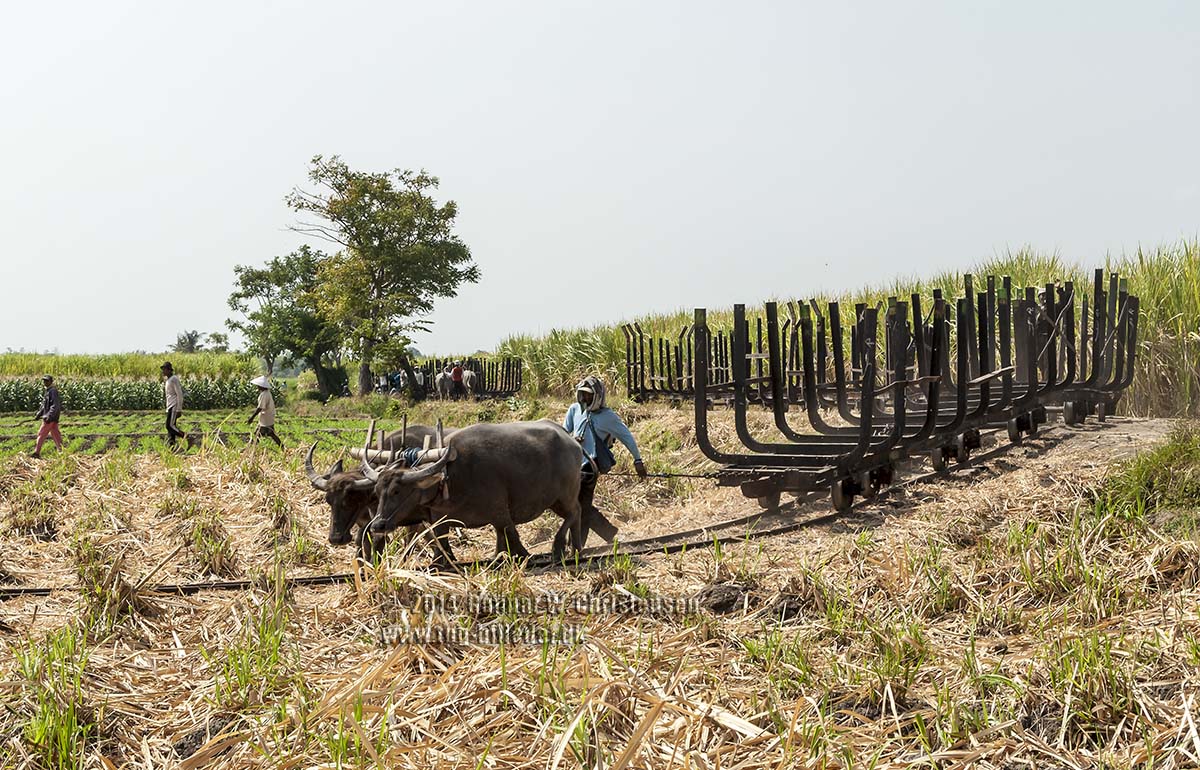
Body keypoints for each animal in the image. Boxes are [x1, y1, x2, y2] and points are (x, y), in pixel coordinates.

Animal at [364, 420, 584, 567]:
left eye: (397, 491)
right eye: (377, 491)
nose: (377, 525)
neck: (450, 477)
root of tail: (571, 440)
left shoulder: (500, 513)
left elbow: (512, 537)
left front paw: (523, 556)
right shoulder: (439, 519)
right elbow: (442, 546)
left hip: (564, 497)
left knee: (575, 513)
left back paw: (559, 548)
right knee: (577, 514)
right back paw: (577, 549)